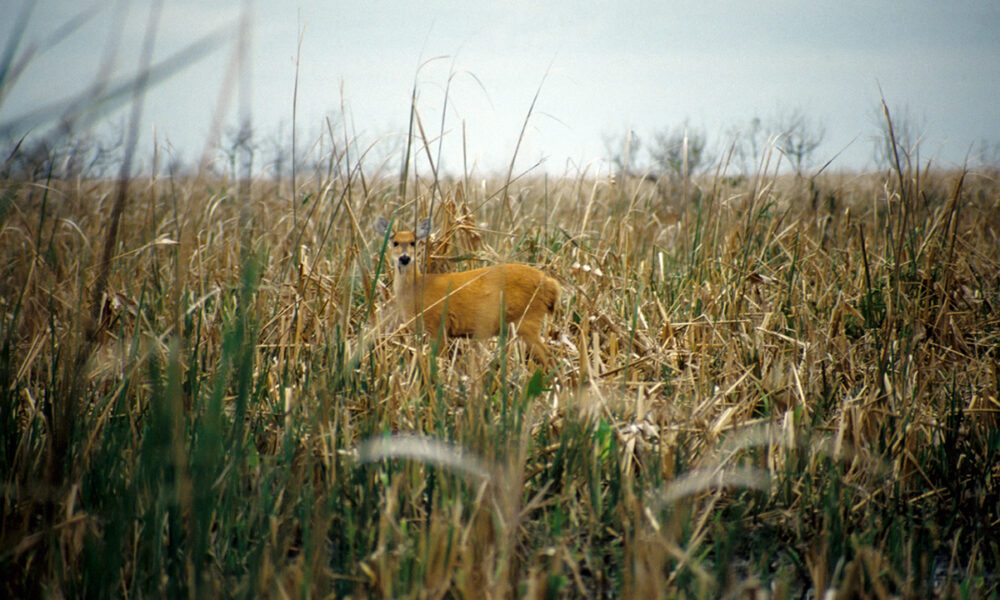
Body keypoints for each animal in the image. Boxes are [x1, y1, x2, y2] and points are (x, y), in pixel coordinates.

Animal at [375, 216, 560, 367]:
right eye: (394, 242)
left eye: (413, 242)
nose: (404, 258)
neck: (417, 288)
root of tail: (551, 284)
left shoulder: (437, 324)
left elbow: (440, 360)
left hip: (527, 318)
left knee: (549, 358)